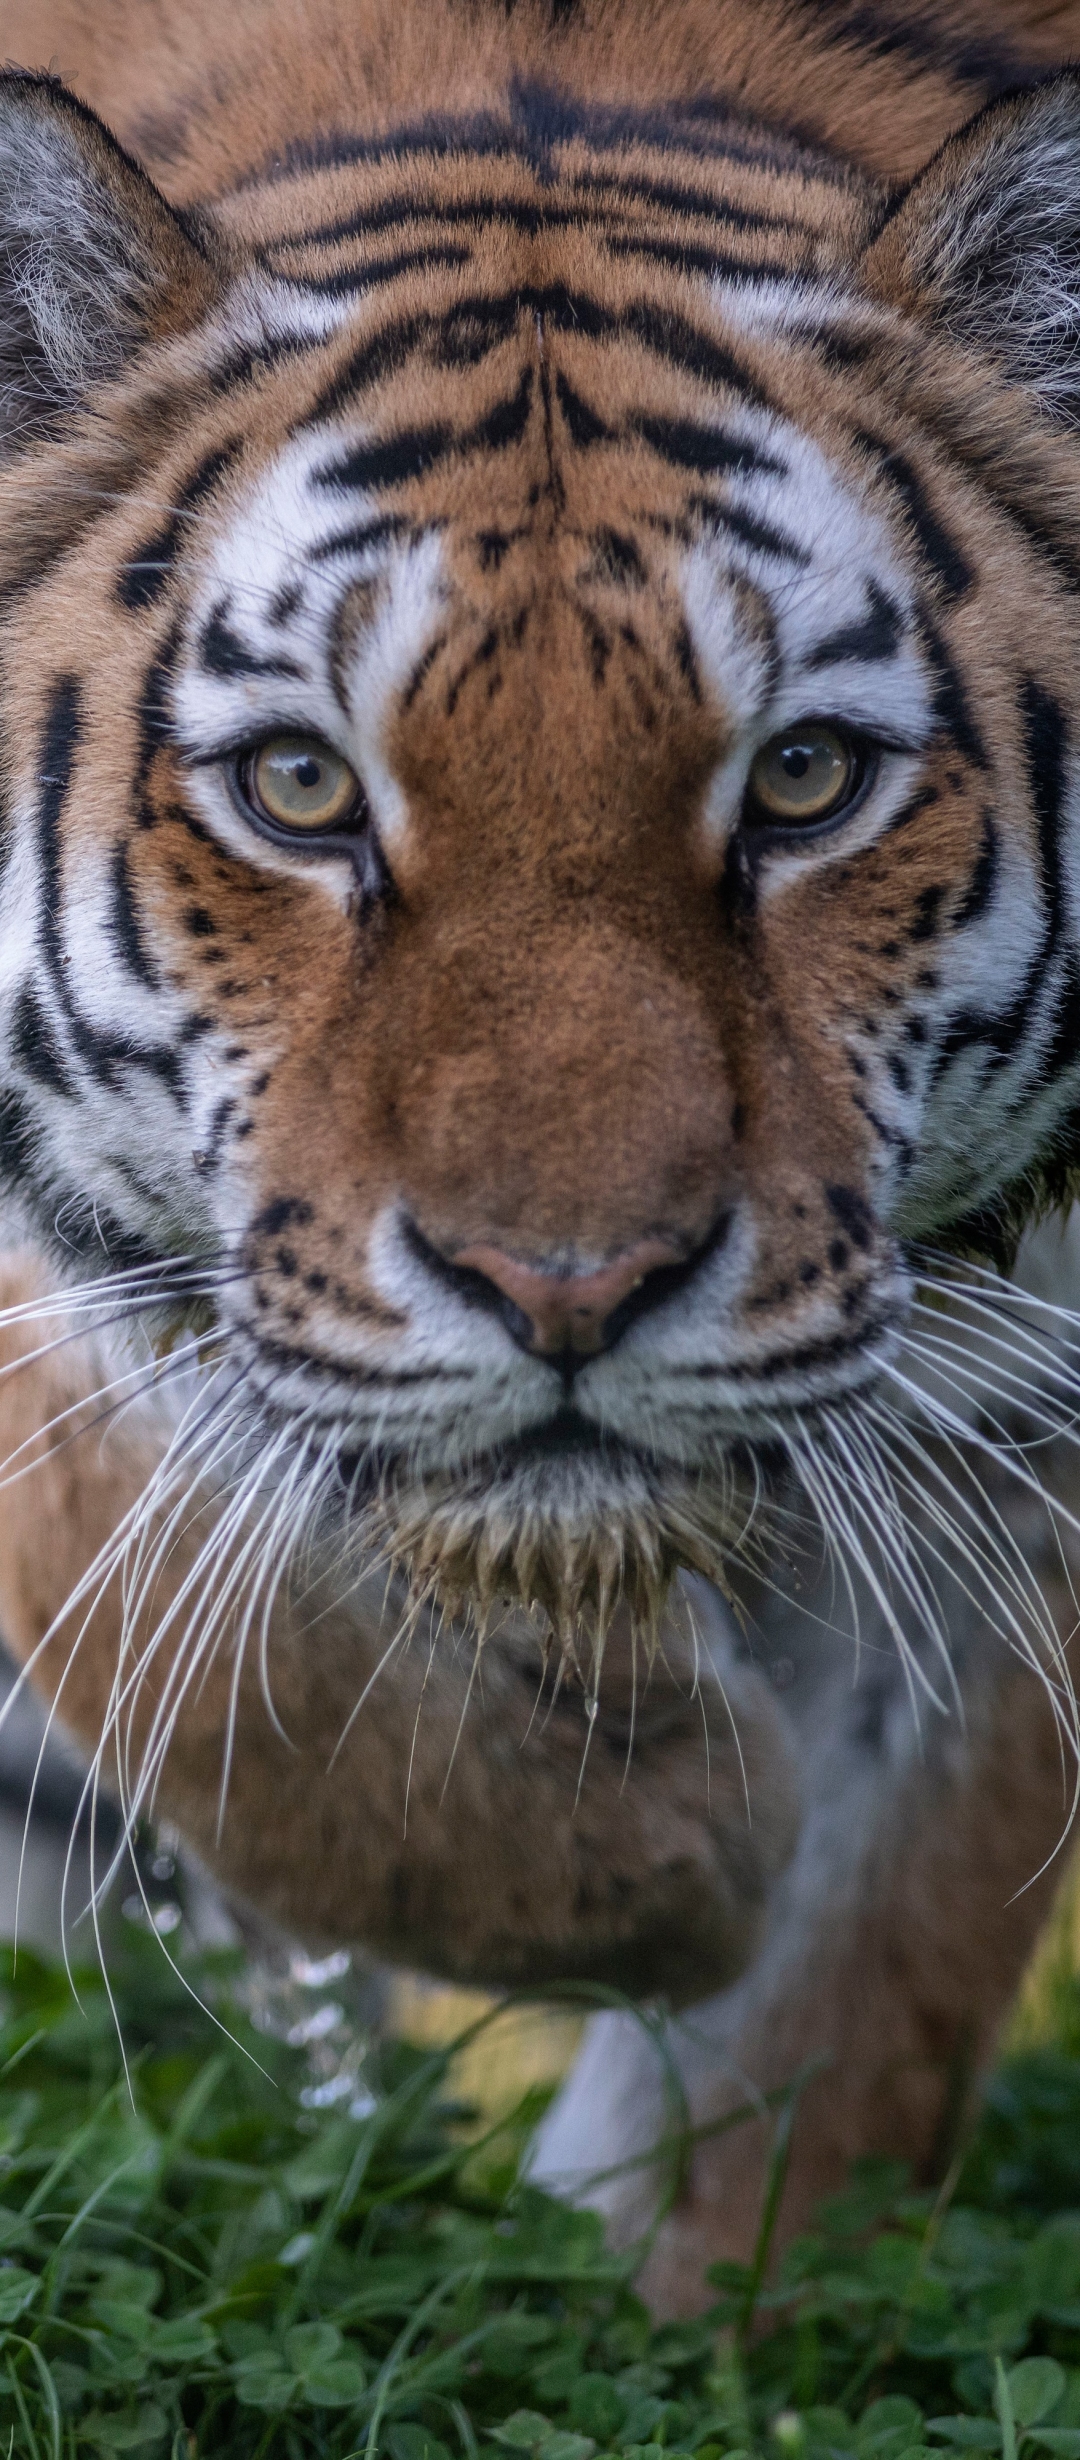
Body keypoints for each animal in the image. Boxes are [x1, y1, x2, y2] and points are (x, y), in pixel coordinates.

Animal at [4, 0, 1080, 2322]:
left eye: (807, 779)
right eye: (304, 790)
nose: (570, 1292)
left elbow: (859, 1991)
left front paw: (700, 2313)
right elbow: (204, 1634)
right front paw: (671, 1848)